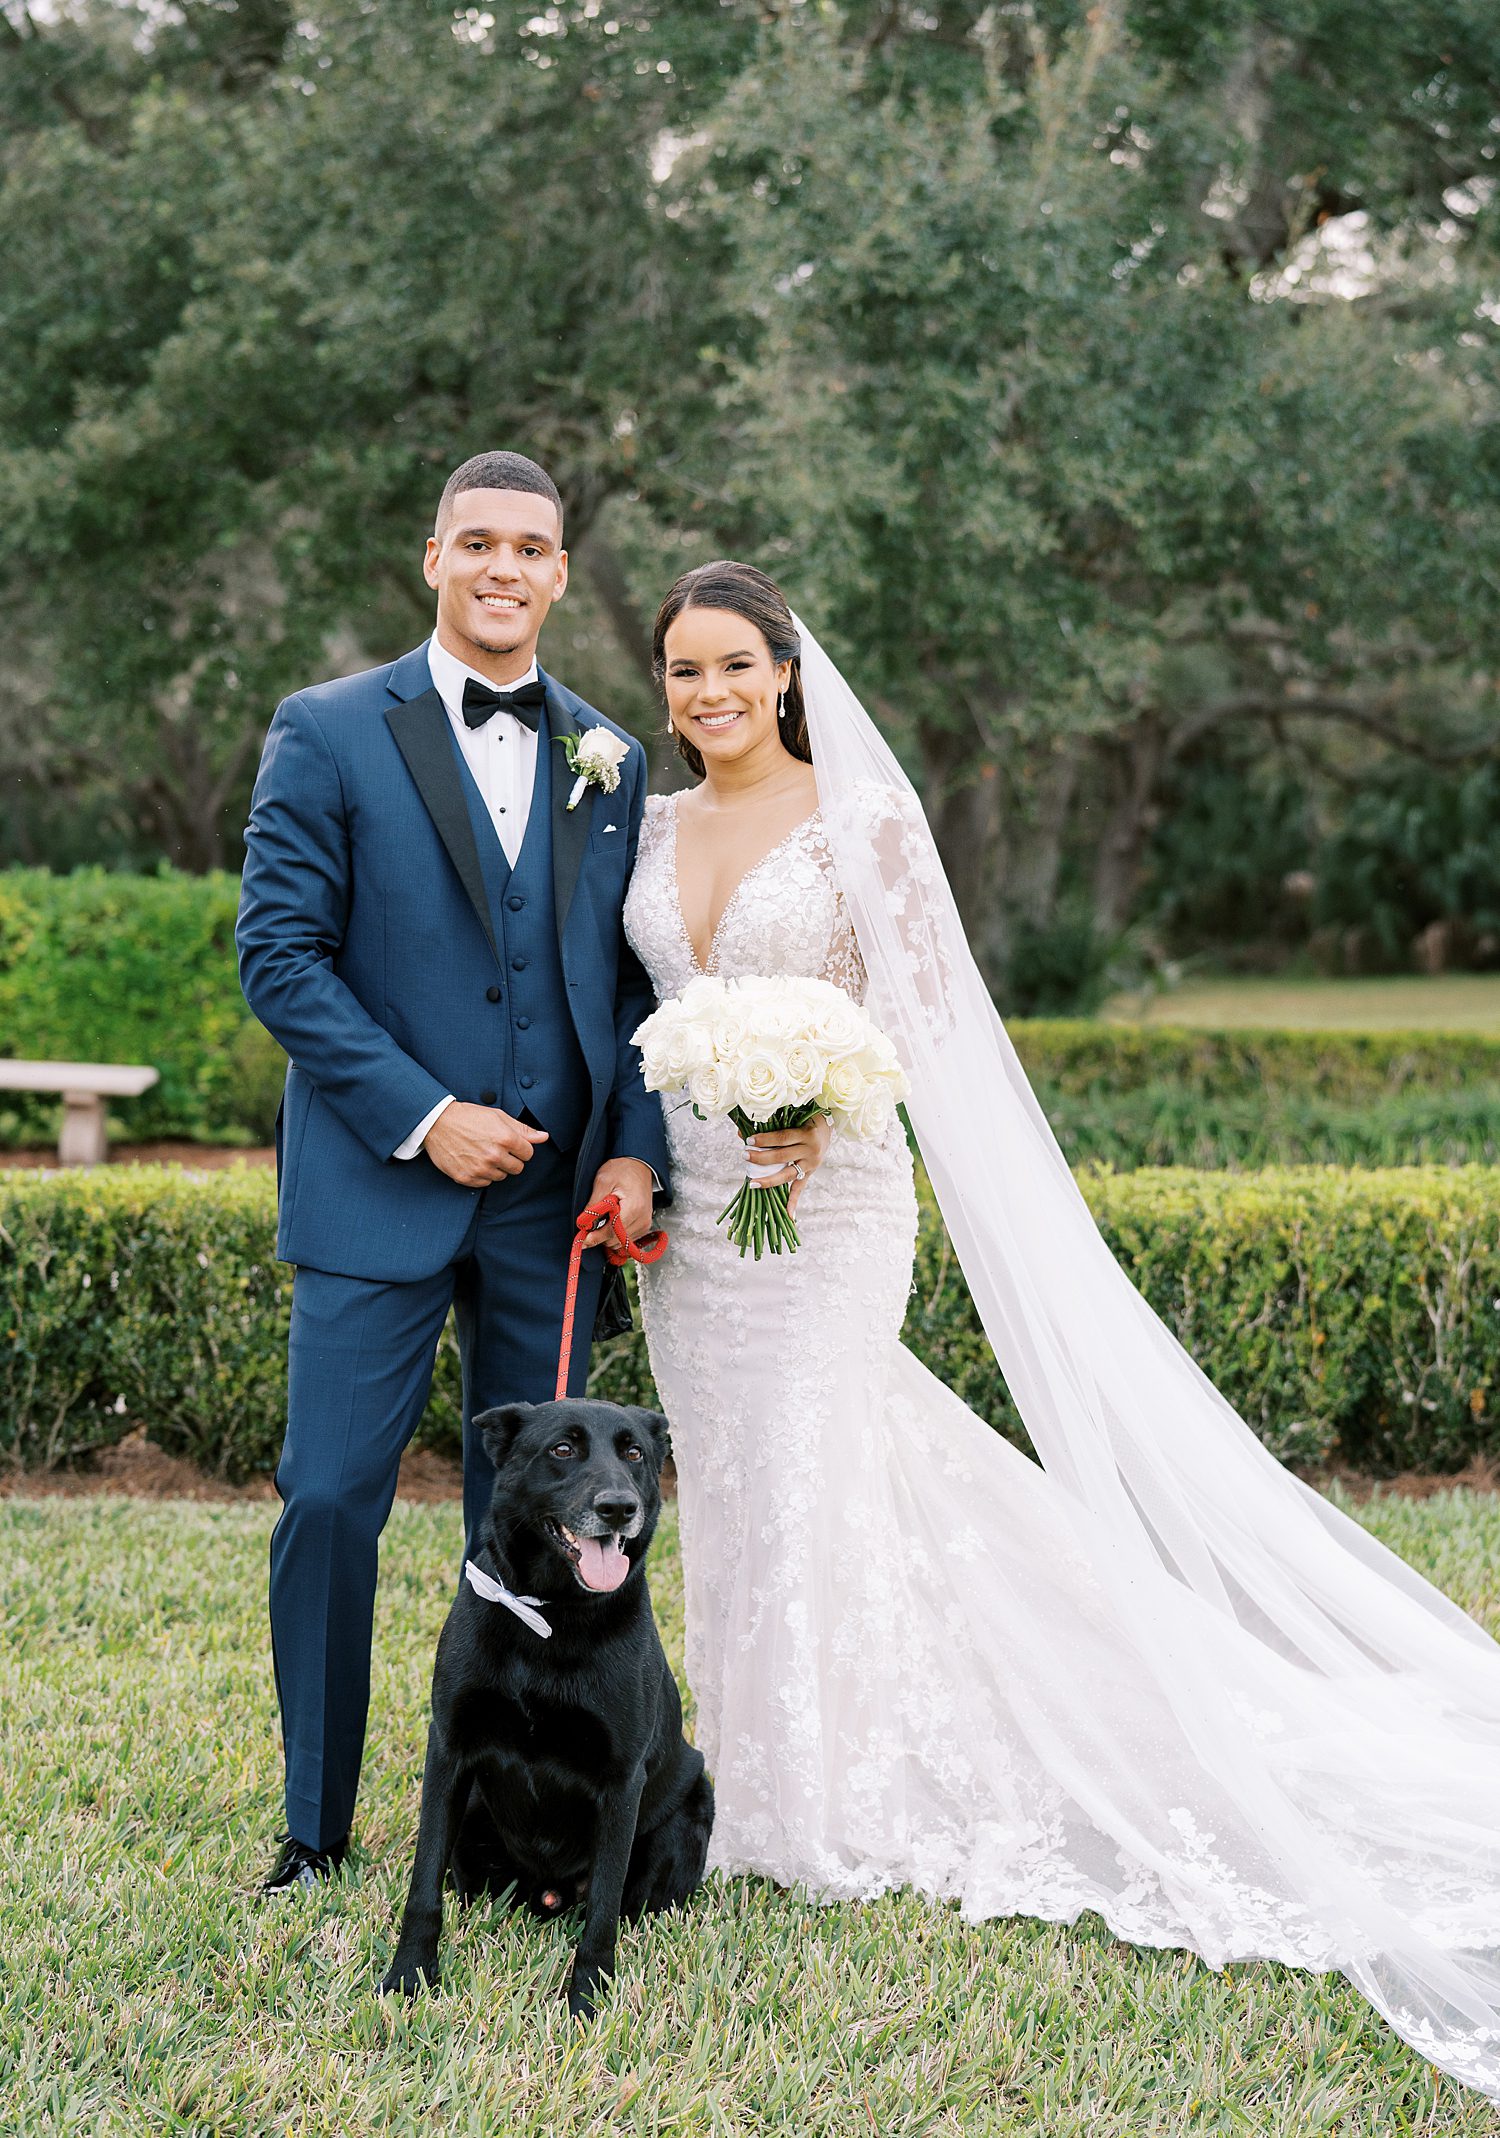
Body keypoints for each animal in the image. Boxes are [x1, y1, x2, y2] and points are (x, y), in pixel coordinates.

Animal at [378, 1393, 713, 2009]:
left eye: (634, 1453)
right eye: (562, 1449)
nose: (618, 1508)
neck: (551, 1616)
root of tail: (549, 1893)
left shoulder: (620, 1780)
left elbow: (602, 1908)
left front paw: (587, 1999)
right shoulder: (449, 1751)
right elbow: (423, 1882)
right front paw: (409, 1976)